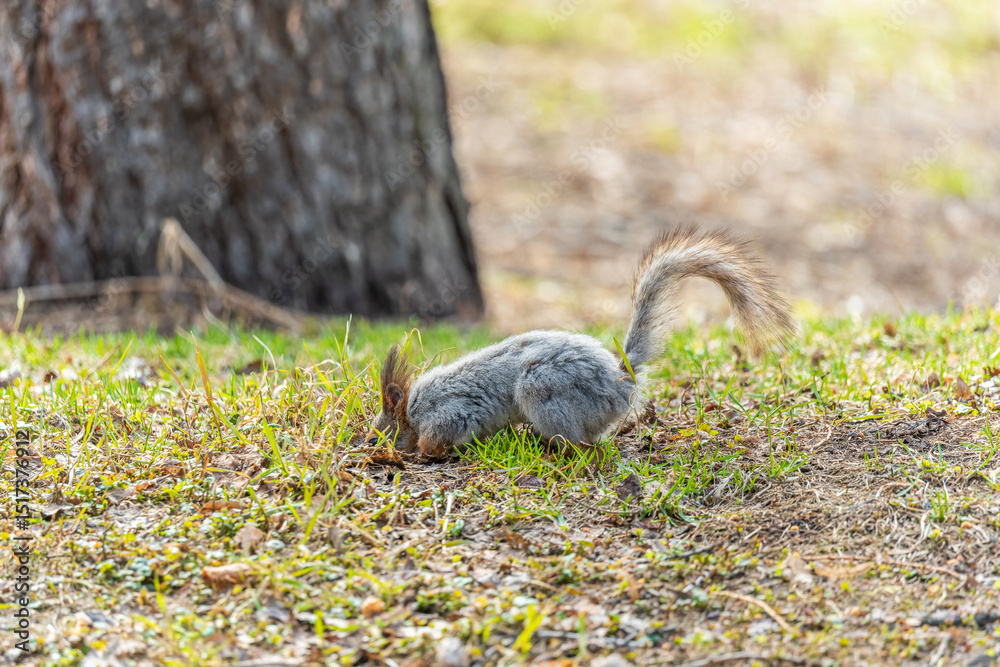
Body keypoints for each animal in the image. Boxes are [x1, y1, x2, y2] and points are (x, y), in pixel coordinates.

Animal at [364, 225, 795, 458]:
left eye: (374, 434)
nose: (365, 448)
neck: (413, 410)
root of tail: (621, 381)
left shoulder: (449, 413)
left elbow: (439, 437)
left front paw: (424, 453)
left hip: (543, 391)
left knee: (579, 445)